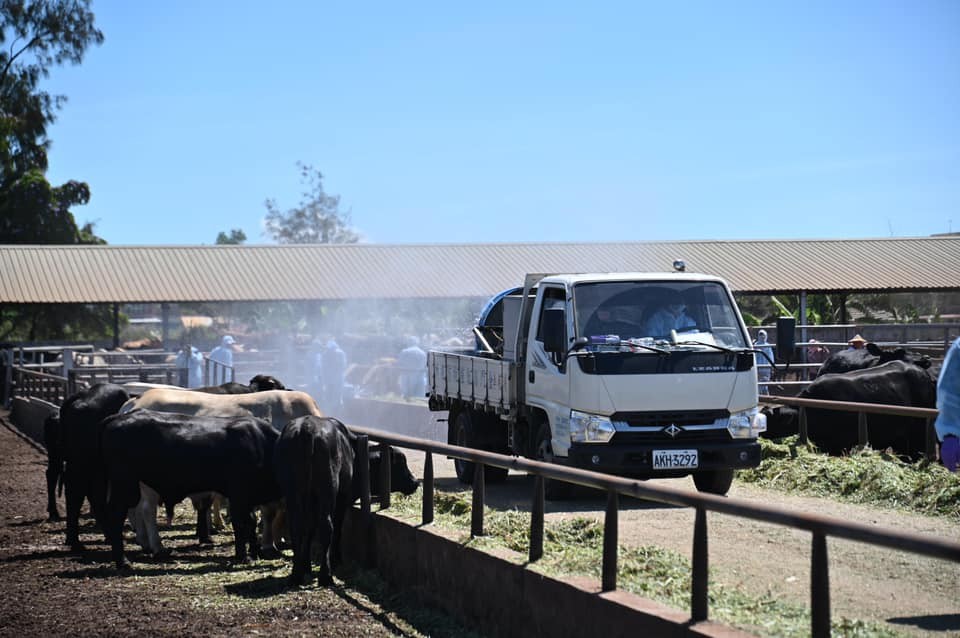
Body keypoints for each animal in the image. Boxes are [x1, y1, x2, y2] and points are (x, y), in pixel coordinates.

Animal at [101, 412, 282, 572]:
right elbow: (242, 523)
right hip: (125, 486)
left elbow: (250, 522)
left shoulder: (247, 498)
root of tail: (117, 418)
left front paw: (254, 552)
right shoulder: (238, 495)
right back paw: (124, 561)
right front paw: (244, 555)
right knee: (119, 516)